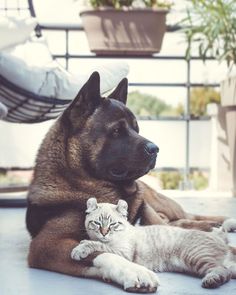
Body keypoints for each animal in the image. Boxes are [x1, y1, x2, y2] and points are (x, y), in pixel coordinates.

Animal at [72, 199, 236, 290]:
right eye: (97, 223)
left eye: (113, 224)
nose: (104, 233)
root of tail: (223, 242)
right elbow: (98, 243)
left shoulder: (123, 252)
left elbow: (97, 245)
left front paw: (80, 248)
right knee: (228, 271)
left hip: (196, 257)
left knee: (223, 271)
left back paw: (211, 281)